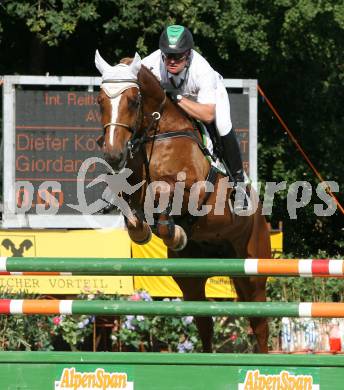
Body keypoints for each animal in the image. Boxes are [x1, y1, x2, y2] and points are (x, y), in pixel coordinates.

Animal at [94, 50, 272, 352]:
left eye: (133, 101)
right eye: (100, 101)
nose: (113, 155)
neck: (158, 132)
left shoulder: (194, 191)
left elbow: (165, 195)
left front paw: (173, 231)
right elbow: (131, 206)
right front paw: (143, 230)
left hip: (252, 270)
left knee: (259, 323)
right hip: (191, 276)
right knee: (204, 321)